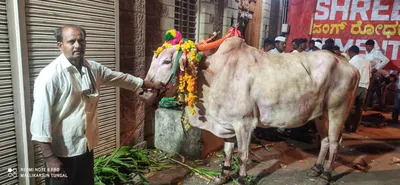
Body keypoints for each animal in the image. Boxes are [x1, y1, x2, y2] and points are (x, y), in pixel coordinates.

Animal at [138, 36, 360, 184]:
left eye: (167, 61)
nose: (142, 91)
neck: (212, 76)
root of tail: (350, 66)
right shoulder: (227, 123)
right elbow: (228, 151)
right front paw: (223, 175)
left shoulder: (244, 123)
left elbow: (242, 154)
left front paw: (242, 178)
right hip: (321, 115)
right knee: (324, 140)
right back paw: (316, 169)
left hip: (337, 111)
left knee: (335, 143)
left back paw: (327, 174)